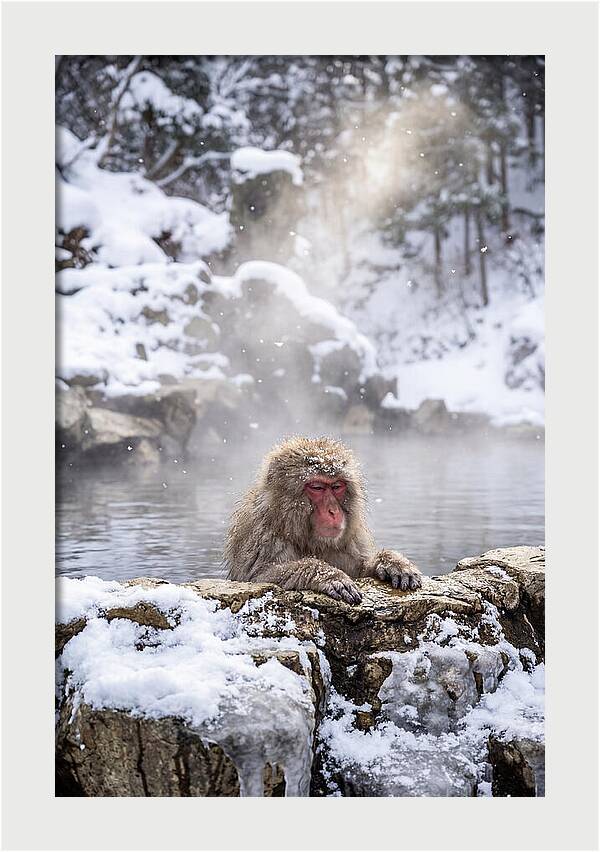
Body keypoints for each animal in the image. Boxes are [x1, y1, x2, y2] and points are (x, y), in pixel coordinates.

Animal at [224, 436, 422, 605]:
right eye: (317, 487)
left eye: (337, 486)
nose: (333, 511)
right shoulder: (261, 535)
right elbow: (259, 577)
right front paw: (328, 575)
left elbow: (360, 570)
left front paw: (391, 562)